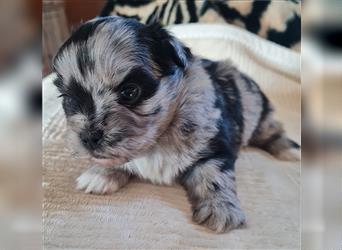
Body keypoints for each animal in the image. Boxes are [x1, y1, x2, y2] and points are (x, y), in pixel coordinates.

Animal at [52, 16, 300, 233]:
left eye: (130, 92)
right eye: (69, 100)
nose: (88, 138)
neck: (159, 138)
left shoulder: (214, 144)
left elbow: (213, 175)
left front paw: (220, 209)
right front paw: (100, 175)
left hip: (259, 115)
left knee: (272, 131)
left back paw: (290, 151)